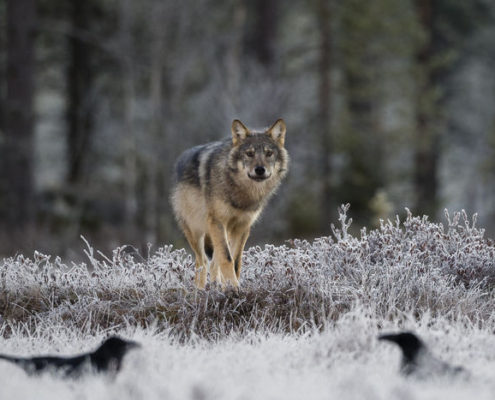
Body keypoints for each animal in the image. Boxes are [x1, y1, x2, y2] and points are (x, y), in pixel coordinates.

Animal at [173, 117, 290, 290]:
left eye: (269, 153)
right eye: (249, 154)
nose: (260, 169)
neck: (242, 193)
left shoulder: (243, 226)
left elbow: (235, 261)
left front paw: (231, 288)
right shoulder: (218, 221)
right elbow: (227, 258)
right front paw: (234, 289)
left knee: (213, 262)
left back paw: (216, 286)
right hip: (196, 231)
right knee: (202, 262)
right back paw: (199, 291)